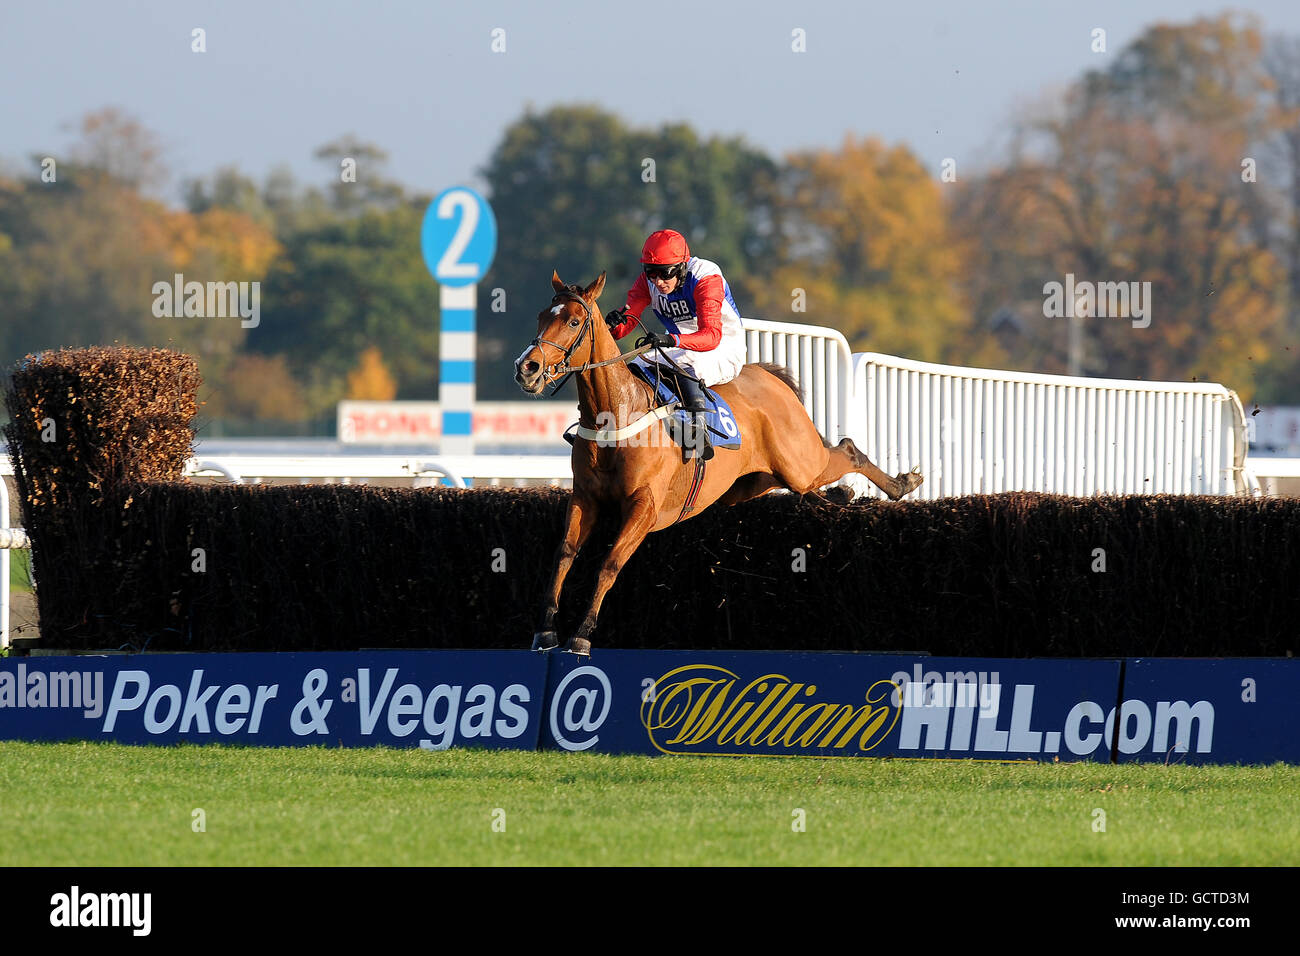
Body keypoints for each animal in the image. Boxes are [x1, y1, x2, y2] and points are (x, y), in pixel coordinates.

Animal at [509, 273, 925, 655]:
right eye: (542, 316)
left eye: (574, 321)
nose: (526, 368)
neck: (618, 416)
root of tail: (767, 376)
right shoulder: (585, 497)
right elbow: (563, 556)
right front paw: (546, 630)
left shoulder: (644, 506)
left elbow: (609, 564)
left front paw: (581, 635)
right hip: (746, 484)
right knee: (803, 482)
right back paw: (843, 495)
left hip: (799, 462)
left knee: (848, 451)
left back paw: (900, 484)